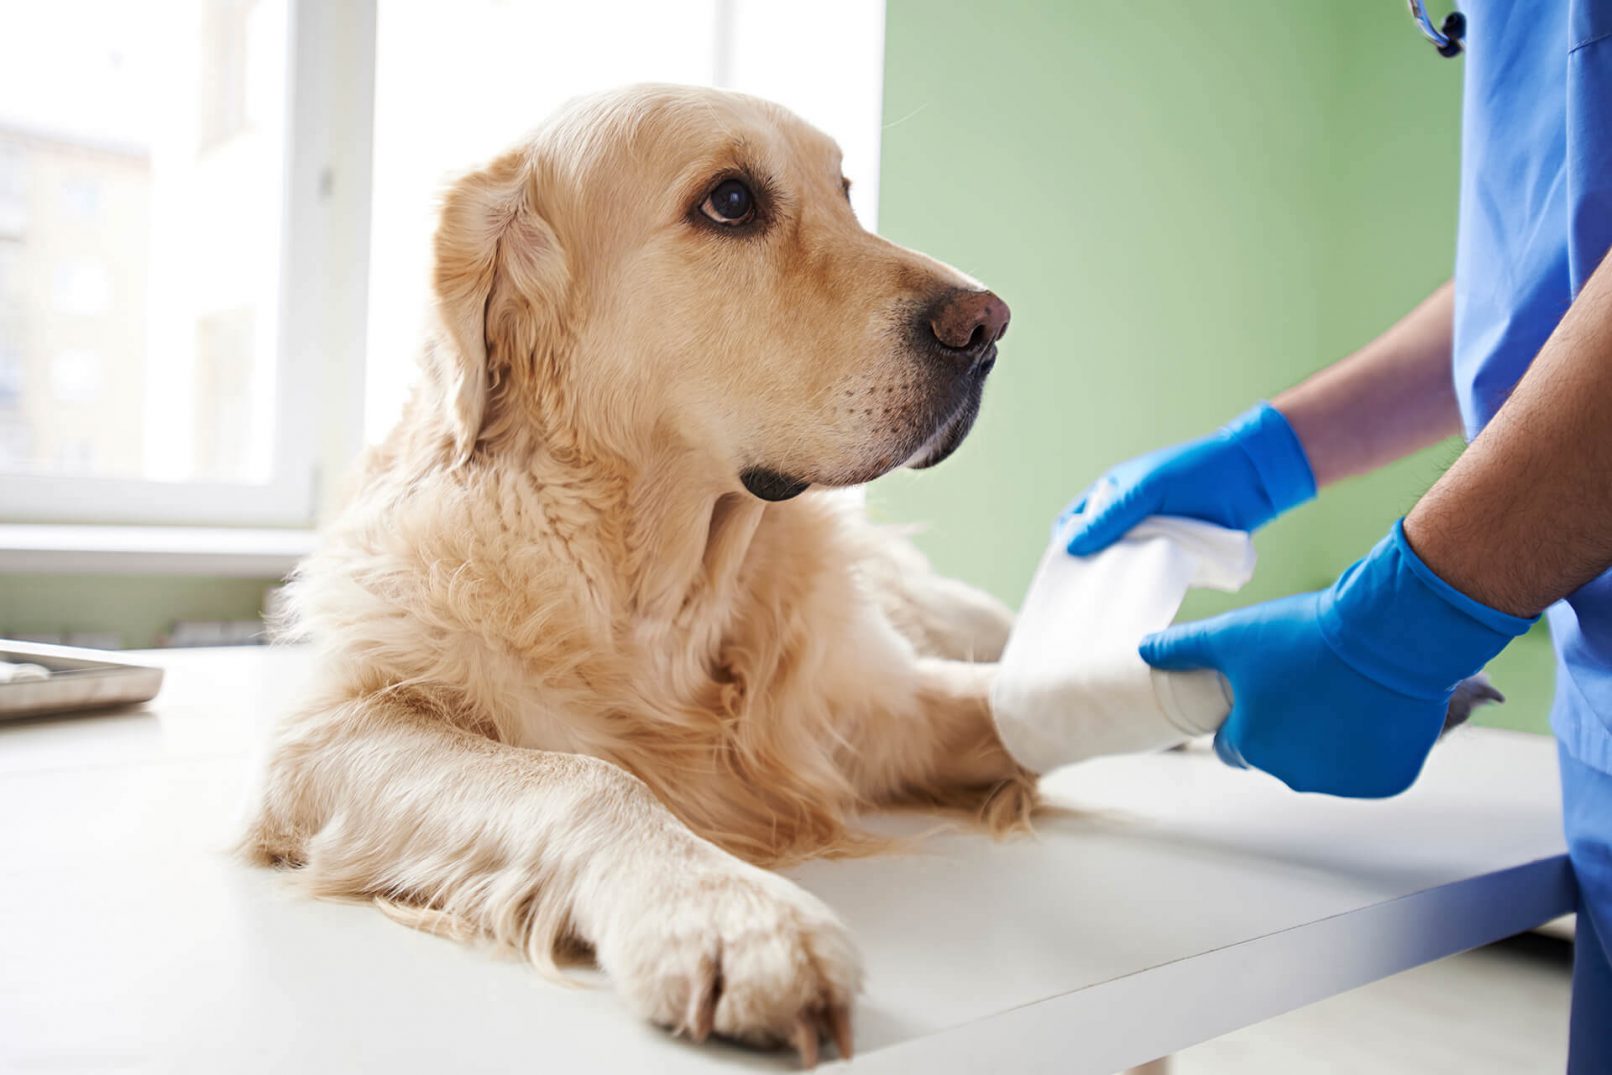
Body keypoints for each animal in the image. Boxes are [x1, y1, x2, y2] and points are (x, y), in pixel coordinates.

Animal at [248, 82, 1031, 1057]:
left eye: (846, 191)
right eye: (730, 201)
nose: (988, 323)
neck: (660, 591)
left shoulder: (867, 711)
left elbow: (1015, 704)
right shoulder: (330, 734)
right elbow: (586, 777)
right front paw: (729, 915)